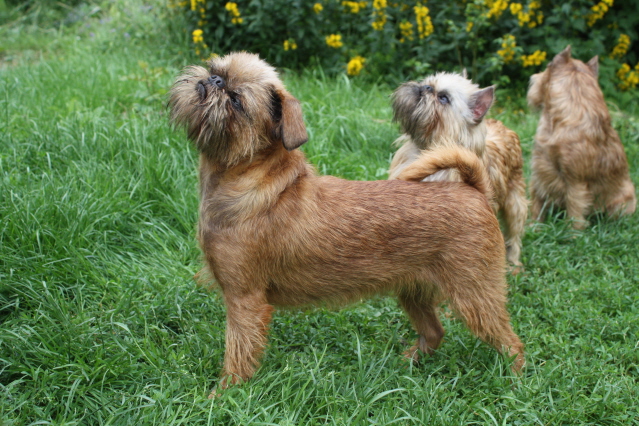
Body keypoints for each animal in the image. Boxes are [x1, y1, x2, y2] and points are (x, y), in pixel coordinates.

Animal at [390, 71, 528, 272]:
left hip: (515, 203)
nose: (426, 87)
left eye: (444, 98)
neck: (425, 149)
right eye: (427, 82)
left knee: (515, 235)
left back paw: (514, 263)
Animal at [528, 45, 636, 228]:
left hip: (625, 199)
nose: (535, 76)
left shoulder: (575, 183)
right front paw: (533, 227)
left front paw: (573, 233)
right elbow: (537, 204)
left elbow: (575, 213)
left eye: (548, 65)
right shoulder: (539, 170)